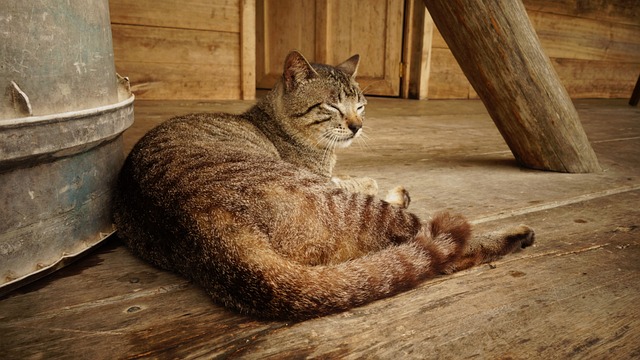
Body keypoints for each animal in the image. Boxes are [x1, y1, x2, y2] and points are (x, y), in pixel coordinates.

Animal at [115, 51, 536, 320]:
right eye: (333, 107)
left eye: (362, 106)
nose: (358, 126)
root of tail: (204, 224)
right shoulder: (324, 177)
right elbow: (359, 181)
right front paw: (384, 186)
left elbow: (358, 177)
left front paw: (379, 181)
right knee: (443, 248)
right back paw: (513, 235)